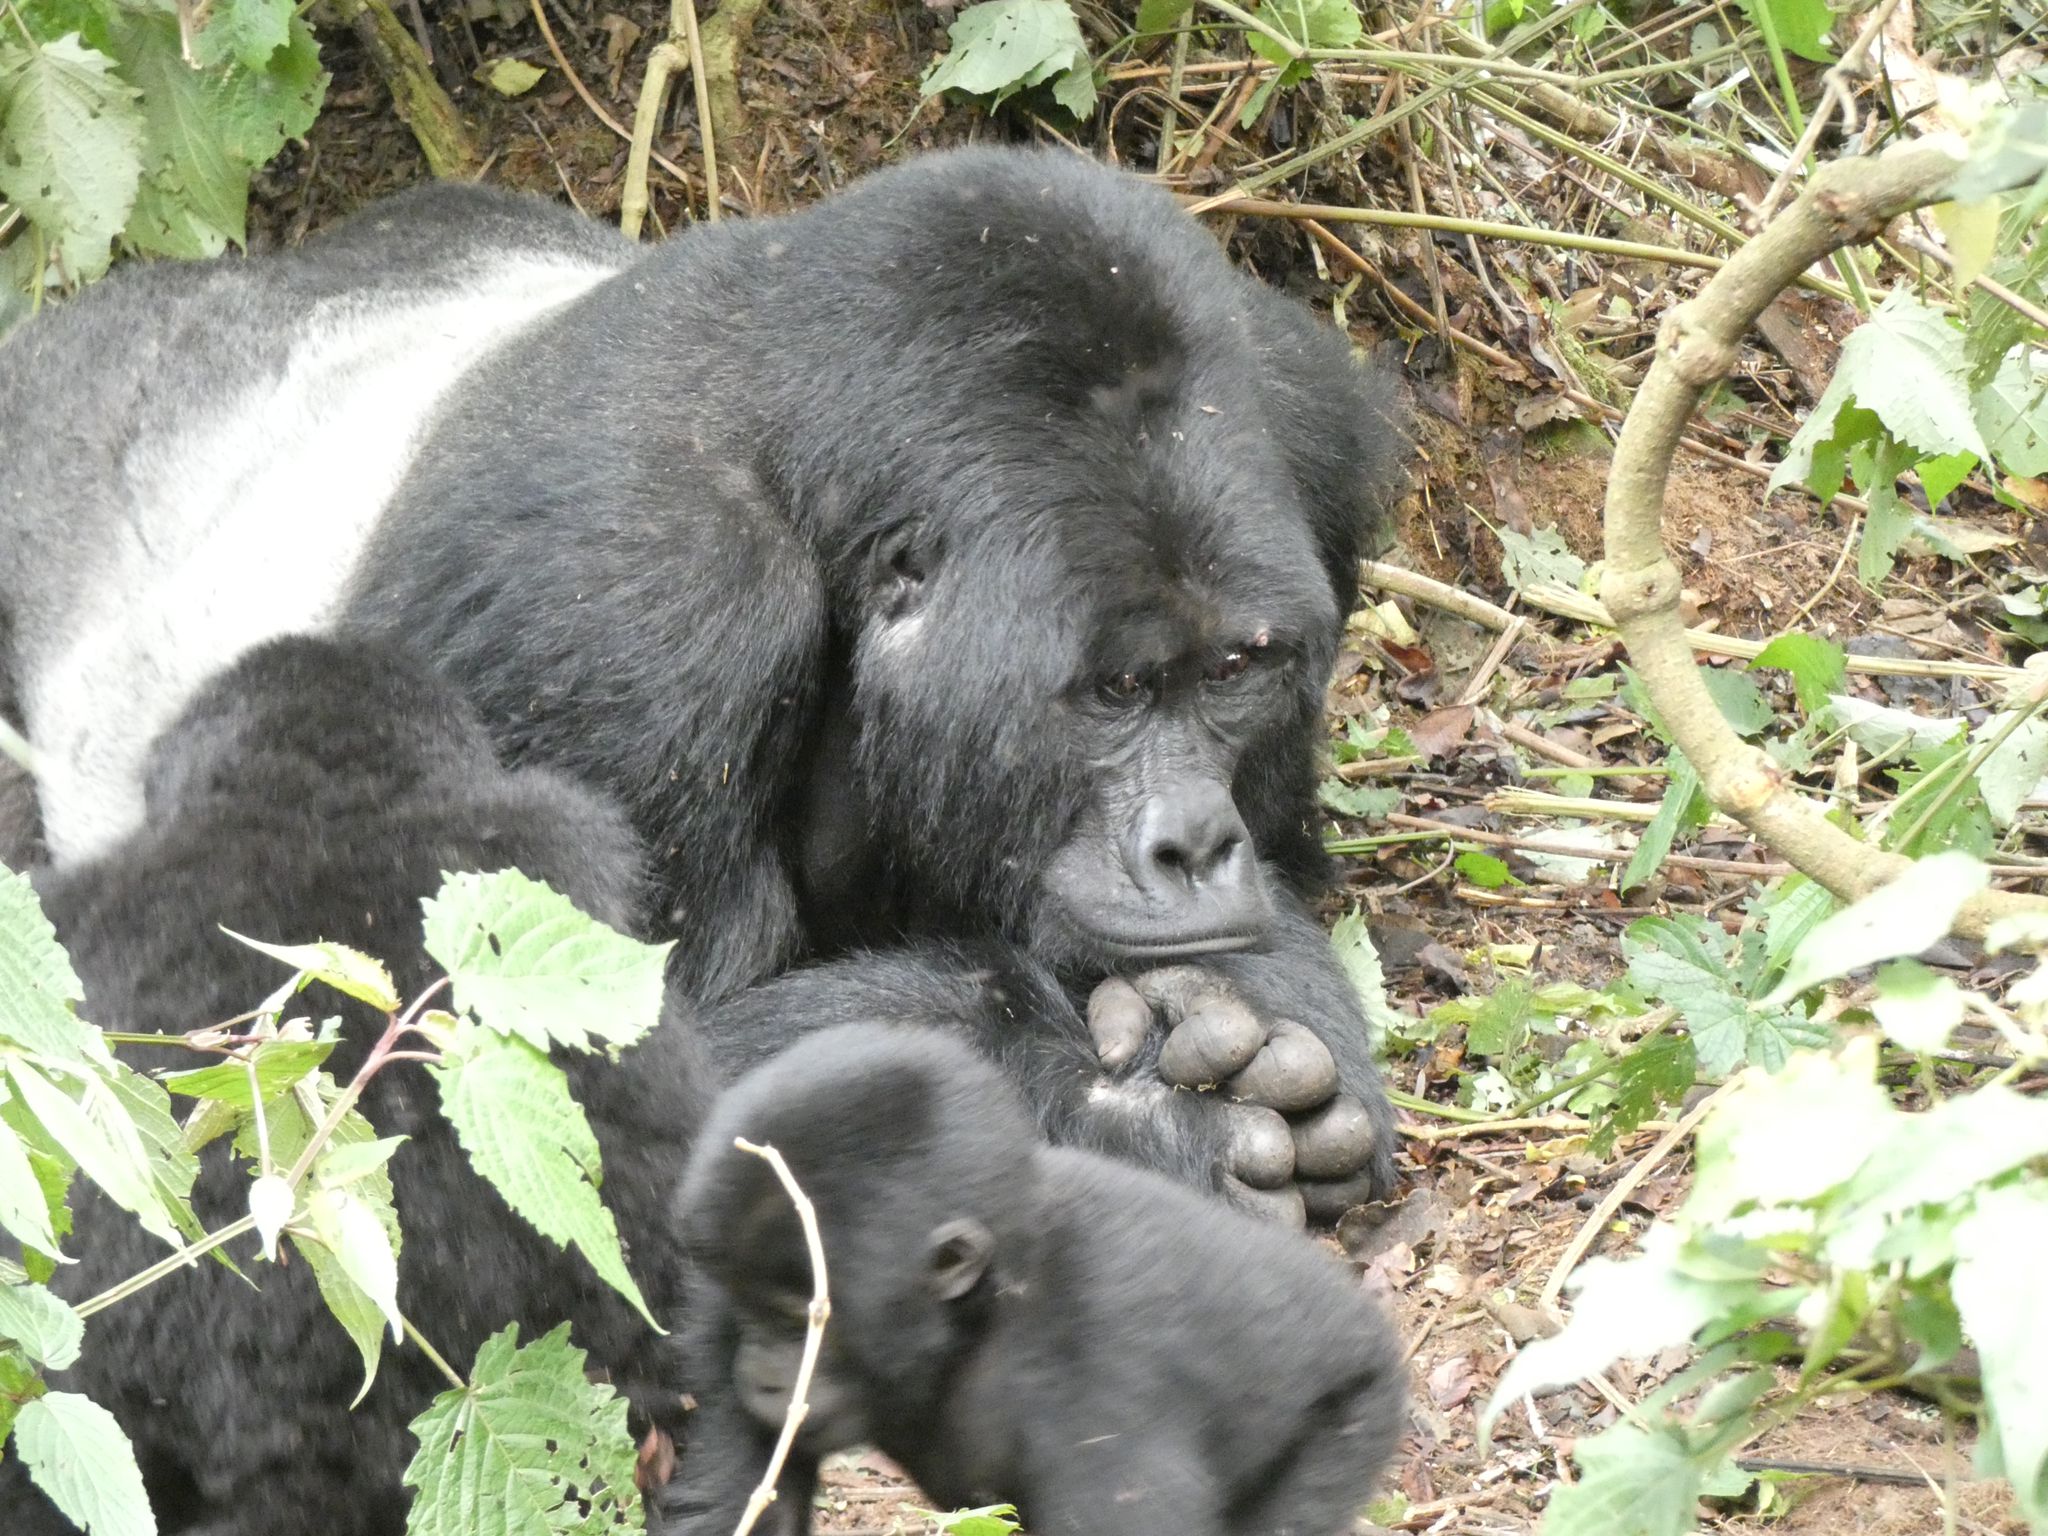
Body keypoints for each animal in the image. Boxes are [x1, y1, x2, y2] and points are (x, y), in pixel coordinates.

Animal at [0, 147, 1400, 1228]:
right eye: (1111, 693)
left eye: (1233, 669)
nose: (1193, 846)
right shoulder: (629, 613)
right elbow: (574, 1087)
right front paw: (1118, 1104)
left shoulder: (1310, 425)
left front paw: (1266, 998)